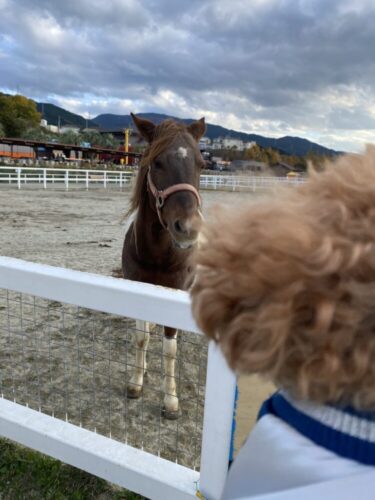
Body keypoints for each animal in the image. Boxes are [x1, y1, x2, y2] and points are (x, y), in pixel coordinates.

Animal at [122, 112, 206, 418]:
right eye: (156, 162)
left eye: (201, 164)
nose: (188, 229)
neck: (158, 254)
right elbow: (141, 338)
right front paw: (136, 381)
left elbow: (170, 349)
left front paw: (170, 400)